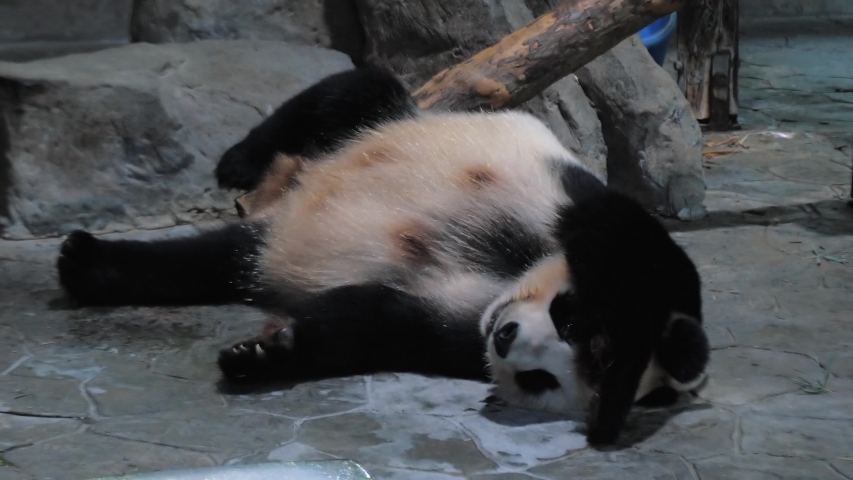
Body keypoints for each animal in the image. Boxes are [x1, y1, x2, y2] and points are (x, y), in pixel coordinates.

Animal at [57, 67, 710, 446]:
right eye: (569, 318)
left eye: (540, 379)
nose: (506, 338)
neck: (507, 275)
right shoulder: (585, 206)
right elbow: (643, 259)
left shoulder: (460, 330)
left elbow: (375, 322)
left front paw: (264, 353)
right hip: (397, 122)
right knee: (352, 92)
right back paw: (239, 161)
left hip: (261, 247)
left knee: (206, 261)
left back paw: (87, 265)